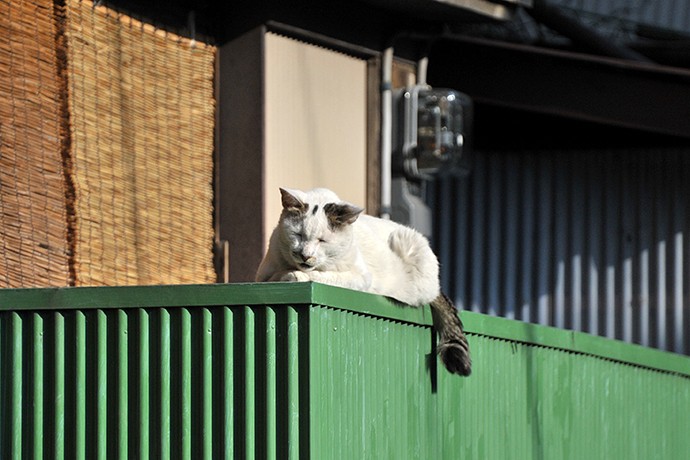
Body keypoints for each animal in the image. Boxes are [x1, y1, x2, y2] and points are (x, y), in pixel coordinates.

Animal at [255, 188, 470, 378]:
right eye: (298, 235)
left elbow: (322, 275)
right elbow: (274, 275)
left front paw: (296, 275)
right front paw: (287, 274)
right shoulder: (263, 273)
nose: (305, 255)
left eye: (322, 240)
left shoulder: (360, 277)